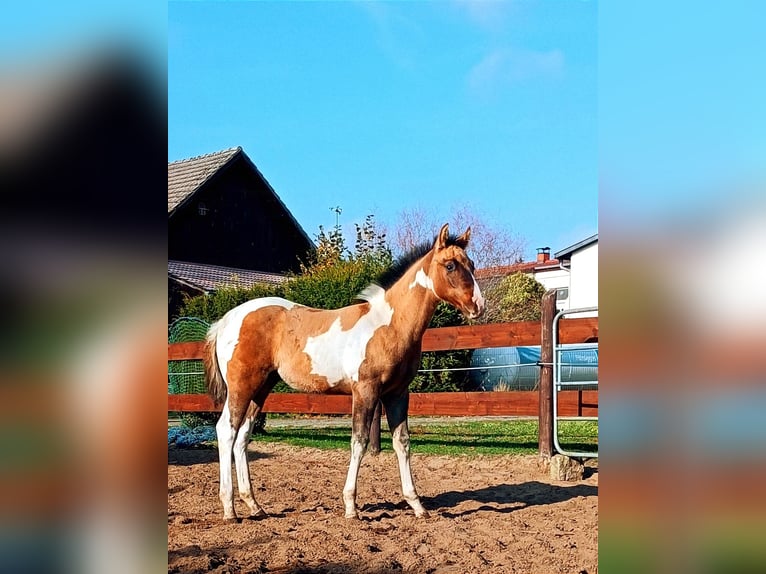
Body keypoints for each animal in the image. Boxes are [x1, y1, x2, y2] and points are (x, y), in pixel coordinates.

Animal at [204, 225, 486, 520]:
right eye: (450, 265)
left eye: (472, 265)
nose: (478, 306)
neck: (389, 325)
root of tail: (225, 321)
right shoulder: (365, 390)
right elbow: (359, 441)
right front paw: (351, 507)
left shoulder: (397, 394)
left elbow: (402, 442)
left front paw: (417, 505)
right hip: (241, 386)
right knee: (226, 430)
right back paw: (229, 509)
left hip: (261, 387)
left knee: (243, 436)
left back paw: (255, 505)